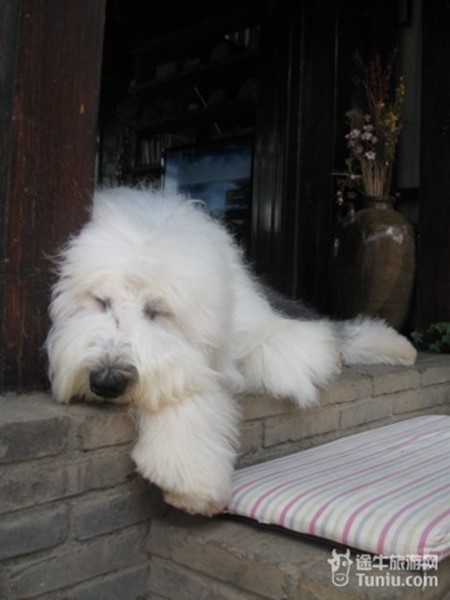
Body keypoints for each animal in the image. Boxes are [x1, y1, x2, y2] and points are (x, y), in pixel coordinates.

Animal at [46, 186, 417, 515]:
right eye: (100, 301)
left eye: (156, 310)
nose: (106, 381)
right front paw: (192, 474)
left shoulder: (269, 336)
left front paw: (191, 478)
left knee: (333, 329)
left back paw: (398, 347)